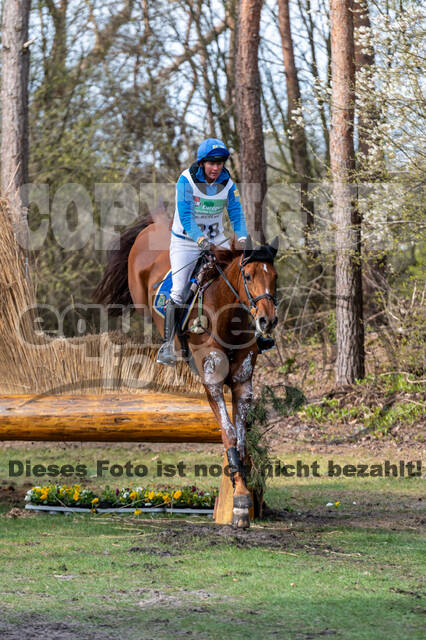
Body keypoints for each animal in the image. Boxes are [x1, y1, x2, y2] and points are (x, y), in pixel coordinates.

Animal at [93, 212, 278, 528]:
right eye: (249, 276)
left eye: (274, 277)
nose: (267, 321)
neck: (228, 317)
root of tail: (156, 224)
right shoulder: (212, 383)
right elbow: (229, 435)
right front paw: (241, 501)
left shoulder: (243, 384)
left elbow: (241, 441)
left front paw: (241, 496)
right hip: (142, 298)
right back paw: (165, 348)